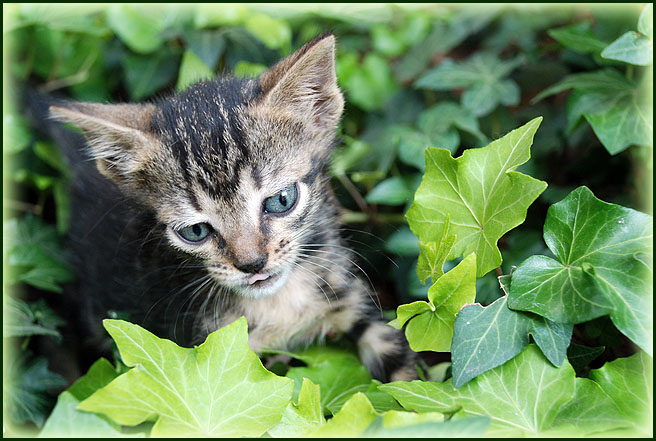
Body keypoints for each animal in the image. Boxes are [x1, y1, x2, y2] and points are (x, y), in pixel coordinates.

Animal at [48, 33, 418, 382]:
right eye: (195, 231)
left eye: (281, 201)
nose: (252, 264)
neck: (280, 302)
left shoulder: (355, 301)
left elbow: (407, 381)